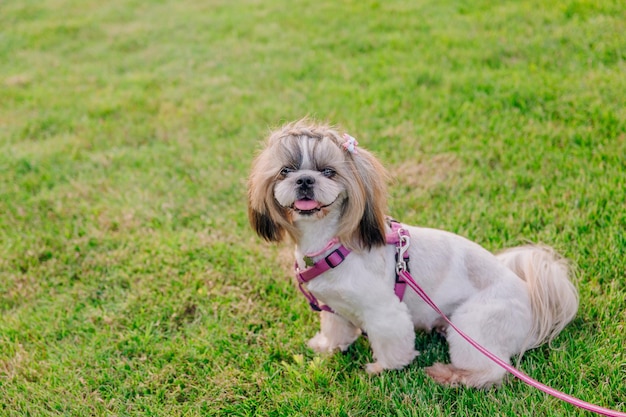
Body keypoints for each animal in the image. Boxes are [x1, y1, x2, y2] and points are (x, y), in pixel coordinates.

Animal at [246, 119, 576, 386]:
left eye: (329, 172)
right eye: (285, 171)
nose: (304, 180)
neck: (332, 244)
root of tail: (530, 292)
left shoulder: (385, 311)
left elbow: (392, 343)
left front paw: (383, 367)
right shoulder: (334, 308)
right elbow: (336, 330)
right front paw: (327, 346)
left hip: (475, 323)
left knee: (492, 370)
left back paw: (450, 375)